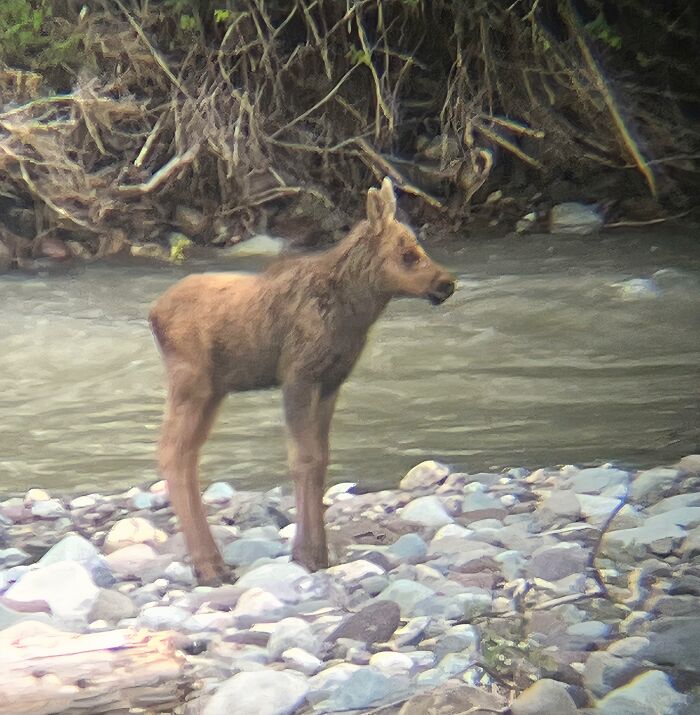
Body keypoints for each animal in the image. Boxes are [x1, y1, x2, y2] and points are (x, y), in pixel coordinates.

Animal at [149, 177, 455, 585]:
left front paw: (319, 553)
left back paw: (212, 562)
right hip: (191, 382)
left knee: (187, 454)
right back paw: (208, 565)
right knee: (172, 452)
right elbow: (303, 459)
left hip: (215, 390)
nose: (446, 284)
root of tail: (153, 314)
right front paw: (306, 554)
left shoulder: (331, 383)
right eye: (408, 254)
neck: (354, 314)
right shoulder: (298, 375)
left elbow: (321, 459)